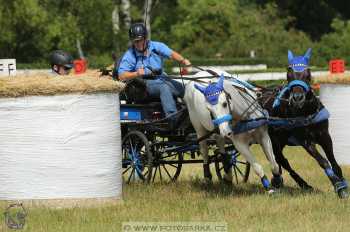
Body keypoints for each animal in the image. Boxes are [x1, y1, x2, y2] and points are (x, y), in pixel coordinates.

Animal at [260, 48, 348, 198]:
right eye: (289, 73)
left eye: (308, 73)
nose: (297, 98)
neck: (307, 112)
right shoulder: (306, 141)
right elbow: (323, 162)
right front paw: (338, 185)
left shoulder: (324, 136)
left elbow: (333, 160)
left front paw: (342, 182)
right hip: (273, 140)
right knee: (282, 160)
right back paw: (302, 184)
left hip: (281, 141)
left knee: (278, 160)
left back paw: (279, 180)